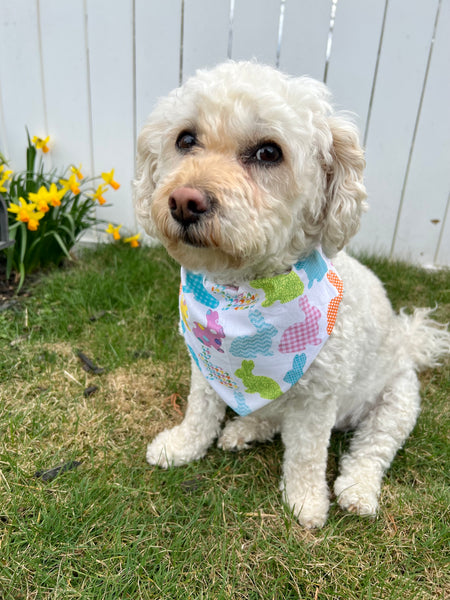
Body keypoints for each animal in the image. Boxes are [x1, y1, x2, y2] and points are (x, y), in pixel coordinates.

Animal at [134, 61, 450, 528]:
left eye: (269, 152)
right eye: (185, 139)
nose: (184, 201)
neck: (241, 293)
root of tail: (409, 340)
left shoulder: (318, 399)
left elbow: (306, 455)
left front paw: (306, 501)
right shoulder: (206, 366)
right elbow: (200, 411)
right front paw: (182, 446)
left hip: (398, 402)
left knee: (372, 450)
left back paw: (357, 490)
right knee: (273, 419)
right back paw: (244, 430)